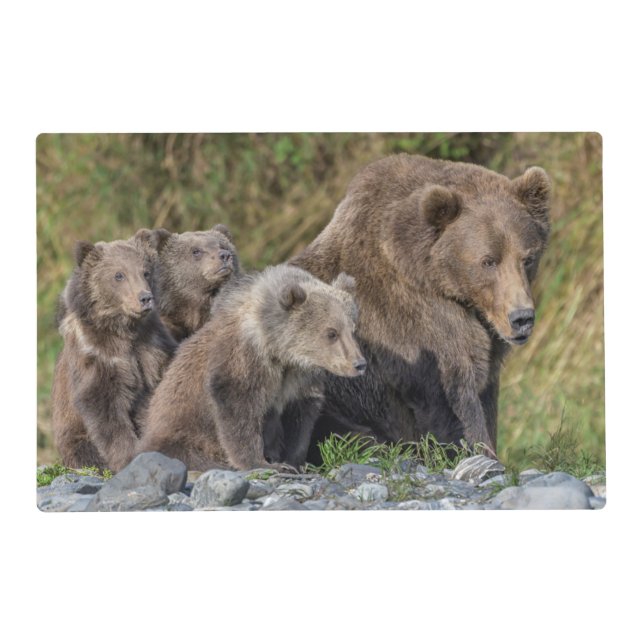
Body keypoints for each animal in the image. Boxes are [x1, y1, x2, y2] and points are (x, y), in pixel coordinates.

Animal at [51, 231, 178, 472]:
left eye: (145, 271)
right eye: (119, 275)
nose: (145, 298)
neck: (124, 329)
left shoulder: (152, 346)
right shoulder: (98, 357)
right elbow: (105, 408)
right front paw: (128, 456)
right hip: (73, 437)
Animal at [137, 265, 366, 471]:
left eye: (352, 329)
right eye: (332, 333)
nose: (359, 364)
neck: (279, 350)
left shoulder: (298, 378)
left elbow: (300, 418)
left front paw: (294, 461)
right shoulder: (245, 359)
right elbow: (238, 407)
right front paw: (262, 462)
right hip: (181, 434)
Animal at [290, 153, 551, 457]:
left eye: (528, 258)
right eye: (488, 261)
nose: (522, 318)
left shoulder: (487, 339)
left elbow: (486, 395)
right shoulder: (415, 327)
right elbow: (454, 401)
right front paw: (480, 451)